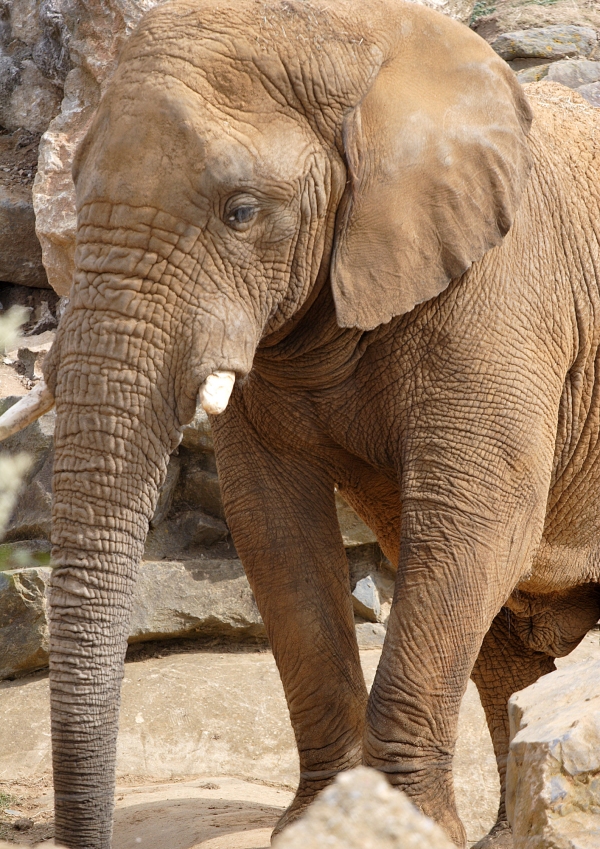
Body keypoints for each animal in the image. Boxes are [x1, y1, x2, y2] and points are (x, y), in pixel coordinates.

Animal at [1, 0, 600, 844]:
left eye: (242, 211)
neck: (368, 44)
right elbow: (272, 523)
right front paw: (324, 820)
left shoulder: (505, 290)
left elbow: (478, 518)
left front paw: (398, 826)